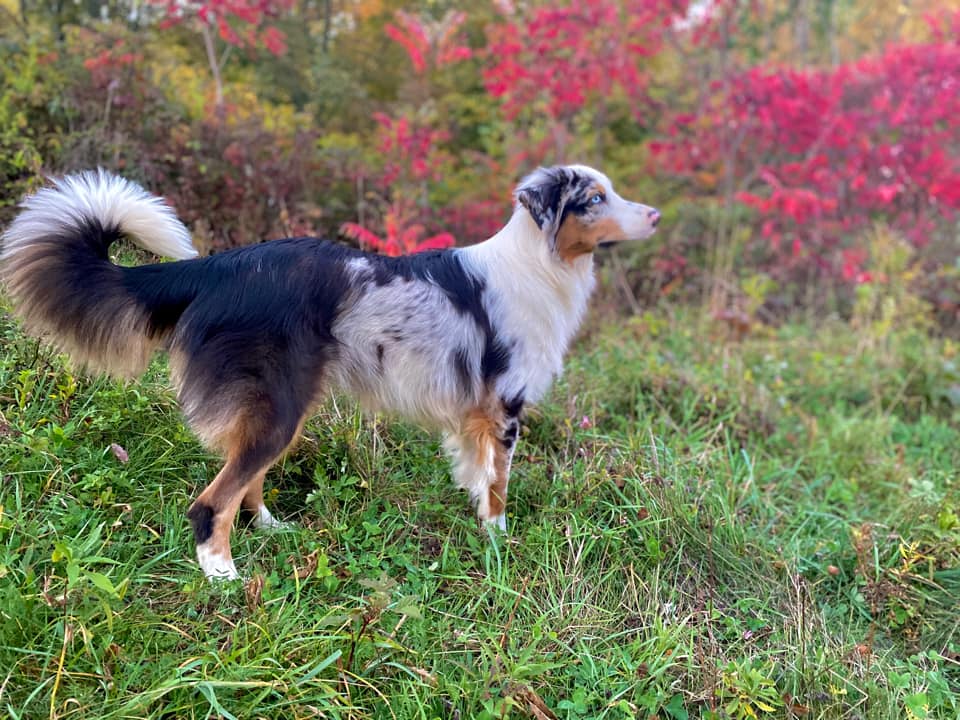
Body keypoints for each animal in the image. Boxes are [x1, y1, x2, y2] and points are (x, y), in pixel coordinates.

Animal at [0, 167, 660, 580]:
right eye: (594, 199)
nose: (655, 215)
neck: (538, 264)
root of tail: (218, 267)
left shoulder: (475, 418)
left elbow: (476, 478)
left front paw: (480, 527)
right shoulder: (503, 411)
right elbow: (497, 486)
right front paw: (498, 542)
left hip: (282, 408)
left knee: (245, 483)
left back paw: (272, 530)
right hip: (280, 407)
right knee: (212, 502)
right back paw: (223, 575)